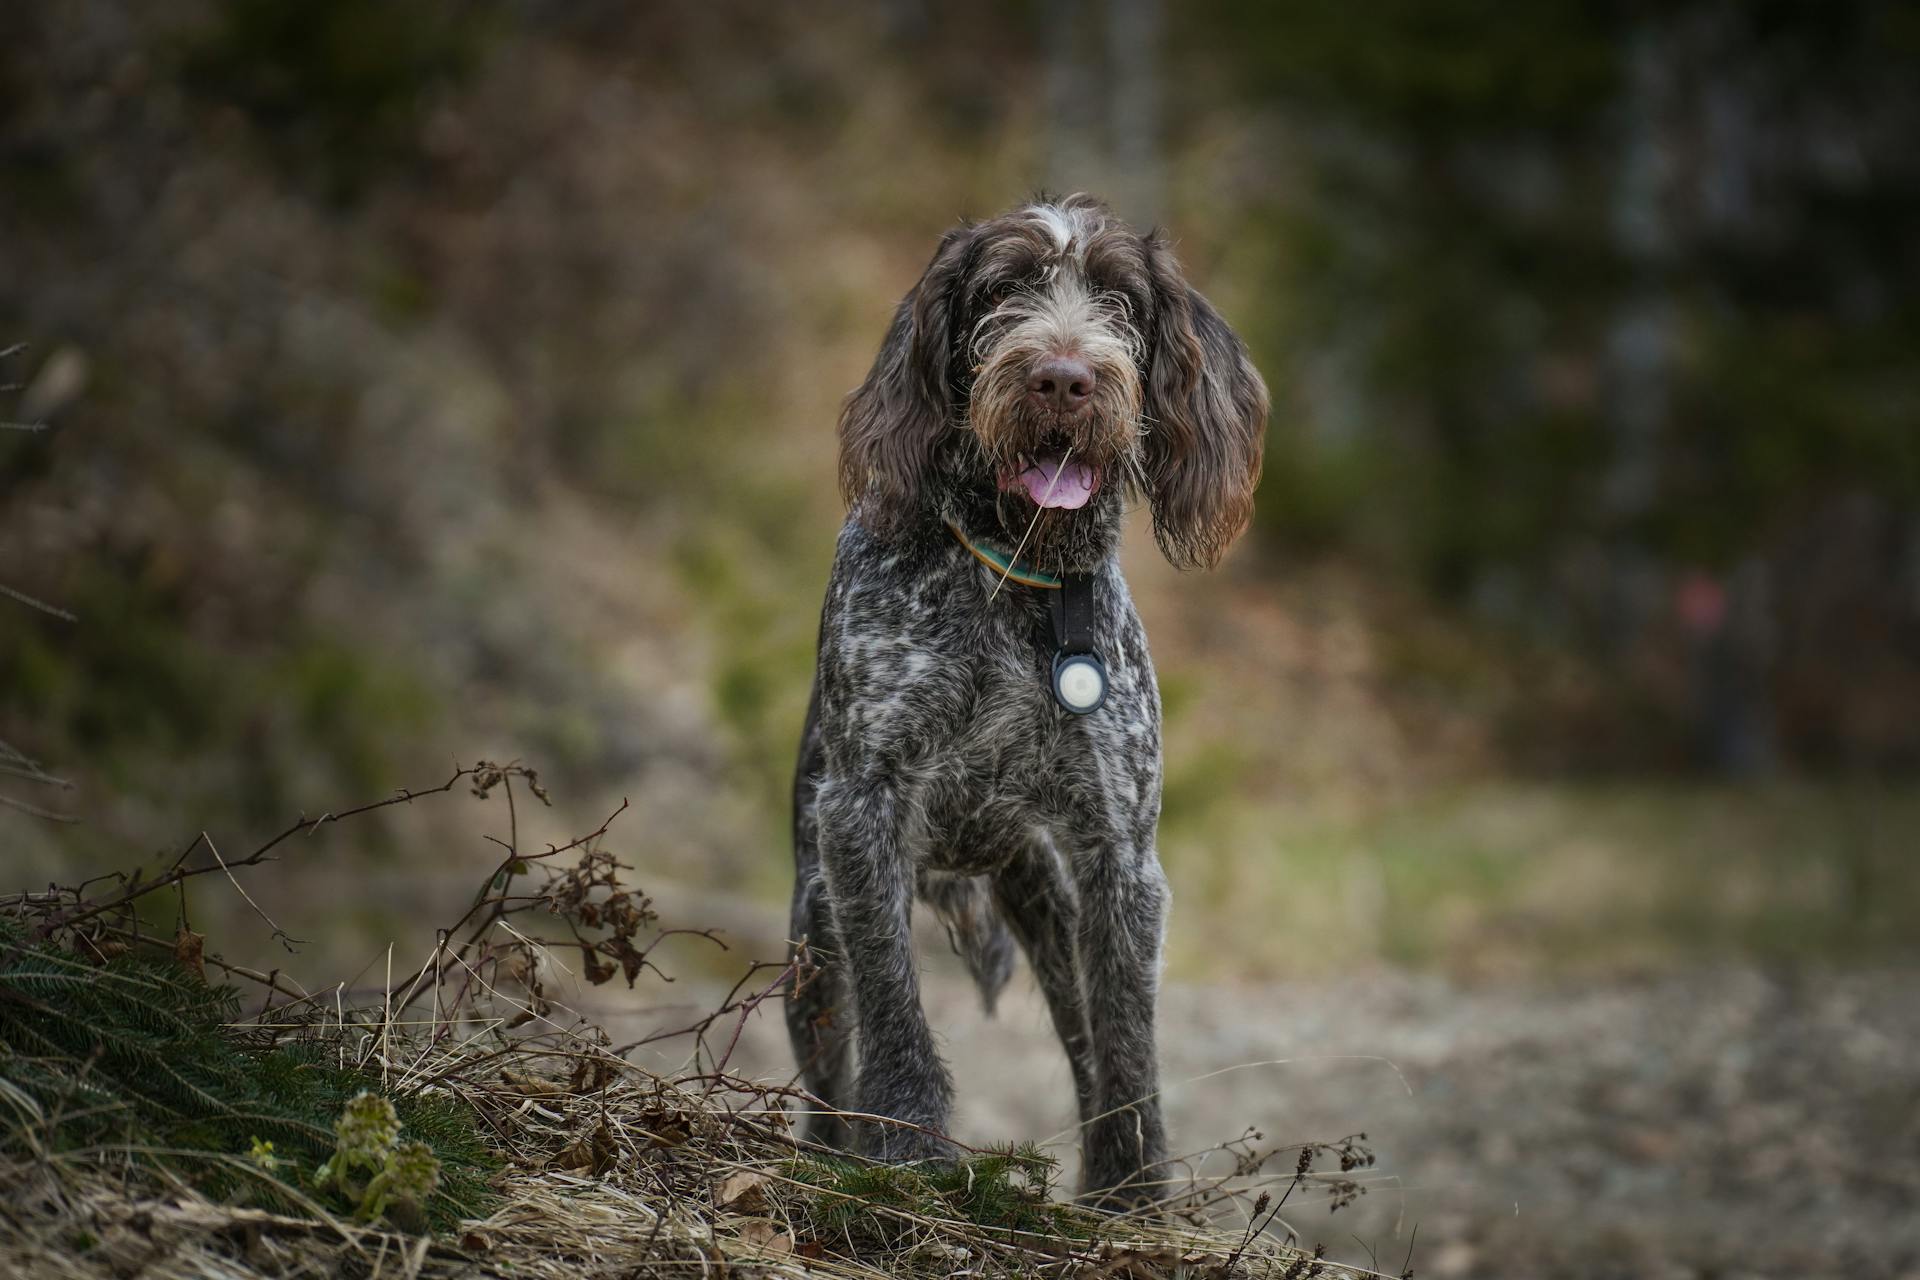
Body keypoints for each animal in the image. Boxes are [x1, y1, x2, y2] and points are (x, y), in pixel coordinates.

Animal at [779, 192, 1259, 1212]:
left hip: (1049, 899)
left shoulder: (1120, 856)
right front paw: (905, 1141)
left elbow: (1125, 1043)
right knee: (827, 1073)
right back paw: (830, 1155)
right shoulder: (862, 813)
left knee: (1083, 1040)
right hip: (812, 933)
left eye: (1120, 299)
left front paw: (1132, 1190)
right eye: (1003, 289)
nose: (1063, 380)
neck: (1017, 575)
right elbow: (893, 998)